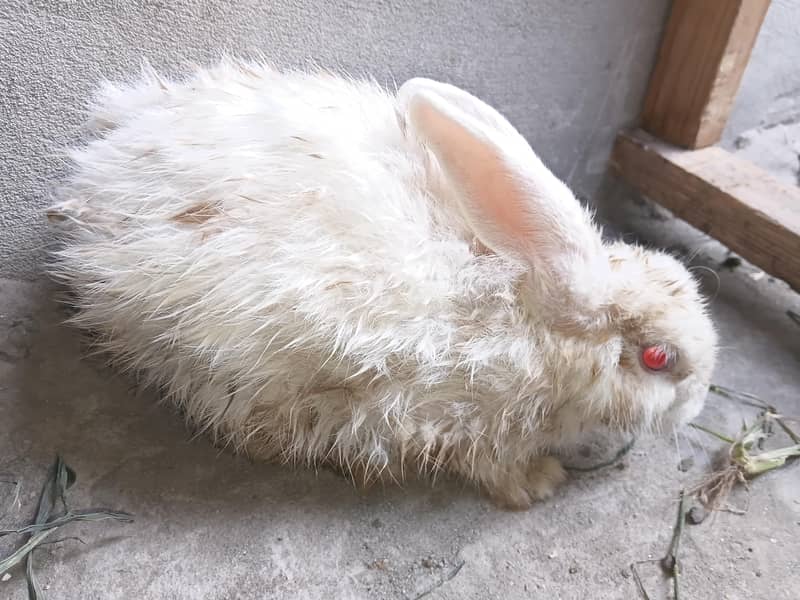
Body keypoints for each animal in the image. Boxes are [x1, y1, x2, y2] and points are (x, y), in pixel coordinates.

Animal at [48, 58, 718, 509]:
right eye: (658, 358)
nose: (697, 406)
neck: (535, 316)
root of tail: (93, 201)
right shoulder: (480, 425)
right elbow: (494, 466)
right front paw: (538, 484)